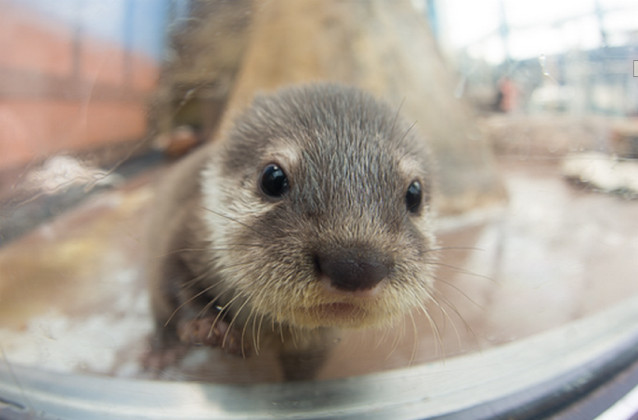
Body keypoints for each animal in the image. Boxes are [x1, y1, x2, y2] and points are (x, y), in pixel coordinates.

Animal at [145, 82, 438, 380]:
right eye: (272, 178)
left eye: (414, 193)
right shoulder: (184, 230)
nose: (356, 266)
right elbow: (173, 281)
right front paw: (206, 326)